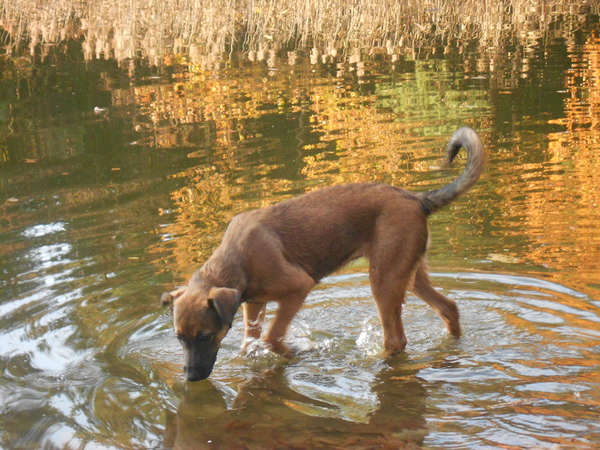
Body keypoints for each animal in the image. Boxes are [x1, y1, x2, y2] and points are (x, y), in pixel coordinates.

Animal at [162, 128, 486, 382]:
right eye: (178, 338)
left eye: (204, 336)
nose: (190, 377)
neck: (236, 262)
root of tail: (417, 199)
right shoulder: (254, 304)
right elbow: (250, 344)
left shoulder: (298, 288)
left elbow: (271, 337)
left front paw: (295, 352)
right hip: (407, 273)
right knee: (448, 307)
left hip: (383, 280)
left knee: (397, 340)